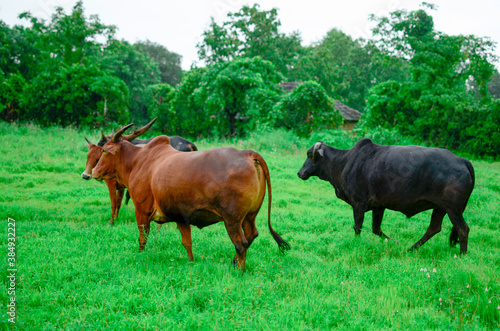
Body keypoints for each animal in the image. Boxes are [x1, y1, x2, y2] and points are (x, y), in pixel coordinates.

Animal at [92, 123, 292, 272]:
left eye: (104, 151)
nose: (93, 172)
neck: (138, 161)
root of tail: (247, 153)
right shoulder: (181, 216)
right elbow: (187, 243)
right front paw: (191, 262)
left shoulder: (141, 210)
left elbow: (143, 238)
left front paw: (140, 256)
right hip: (249, 217)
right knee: (251, 235)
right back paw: (234, 262)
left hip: (232, 220)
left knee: (241, 244)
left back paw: (239, 271)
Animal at [298, 138, 474, 254]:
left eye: (309, 154)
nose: (300, 173)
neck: (345, 162)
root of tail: (462, 160)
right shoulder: (379, 206)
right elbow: (376, 229)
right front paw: (395, 242)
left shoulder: (358, 203)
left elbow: (357, 227)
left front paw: (357, 243)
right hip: (440, 208)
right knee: (433, 228)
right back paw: (411, 248)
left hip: (453, 209)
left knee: (463, 229)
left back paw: (462, 255)